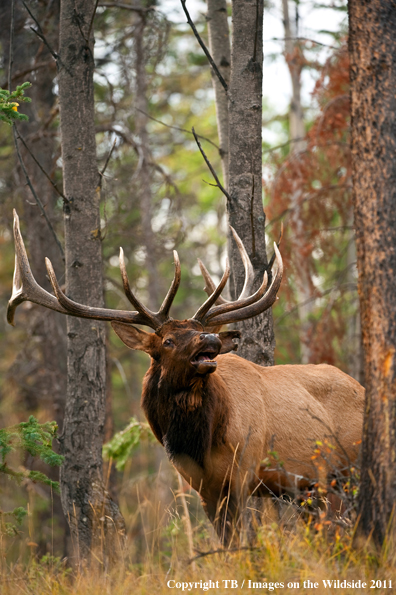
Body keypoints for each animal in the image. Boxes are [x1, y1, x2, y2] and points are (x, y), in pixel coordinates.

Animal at [7, 211, 364, 544]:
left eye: (200, 330)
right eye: (167, 340)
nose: (211, 339)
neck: (199, 439)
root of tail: (361, 388)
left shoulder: (244, 470)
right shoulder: (202, 485)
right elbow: (226, 541)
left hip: (344, 469)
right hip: (313, 488)